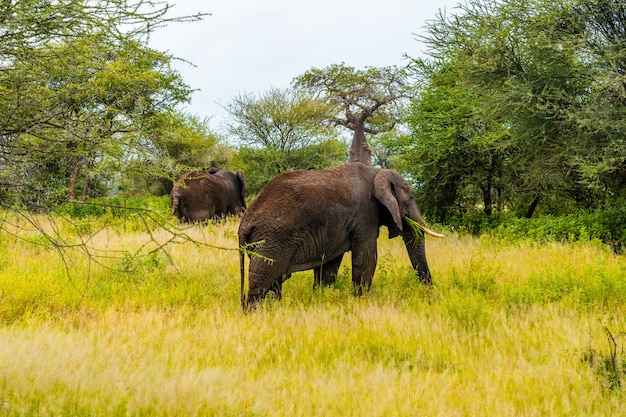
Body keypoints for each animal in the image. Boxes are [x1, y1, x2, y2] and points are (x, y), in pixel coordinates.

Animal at [236, 161, 442, 308]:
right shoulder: (366, 213)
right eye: (411, 197)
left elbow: (329, 266)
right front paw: (360, 302)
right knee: (263, 278)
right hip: (272, 240)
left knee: (274, 281)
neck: (377, 172)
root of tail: (244, 224)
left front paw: (322, 299)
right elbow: (366, 259)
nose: (430, 296)